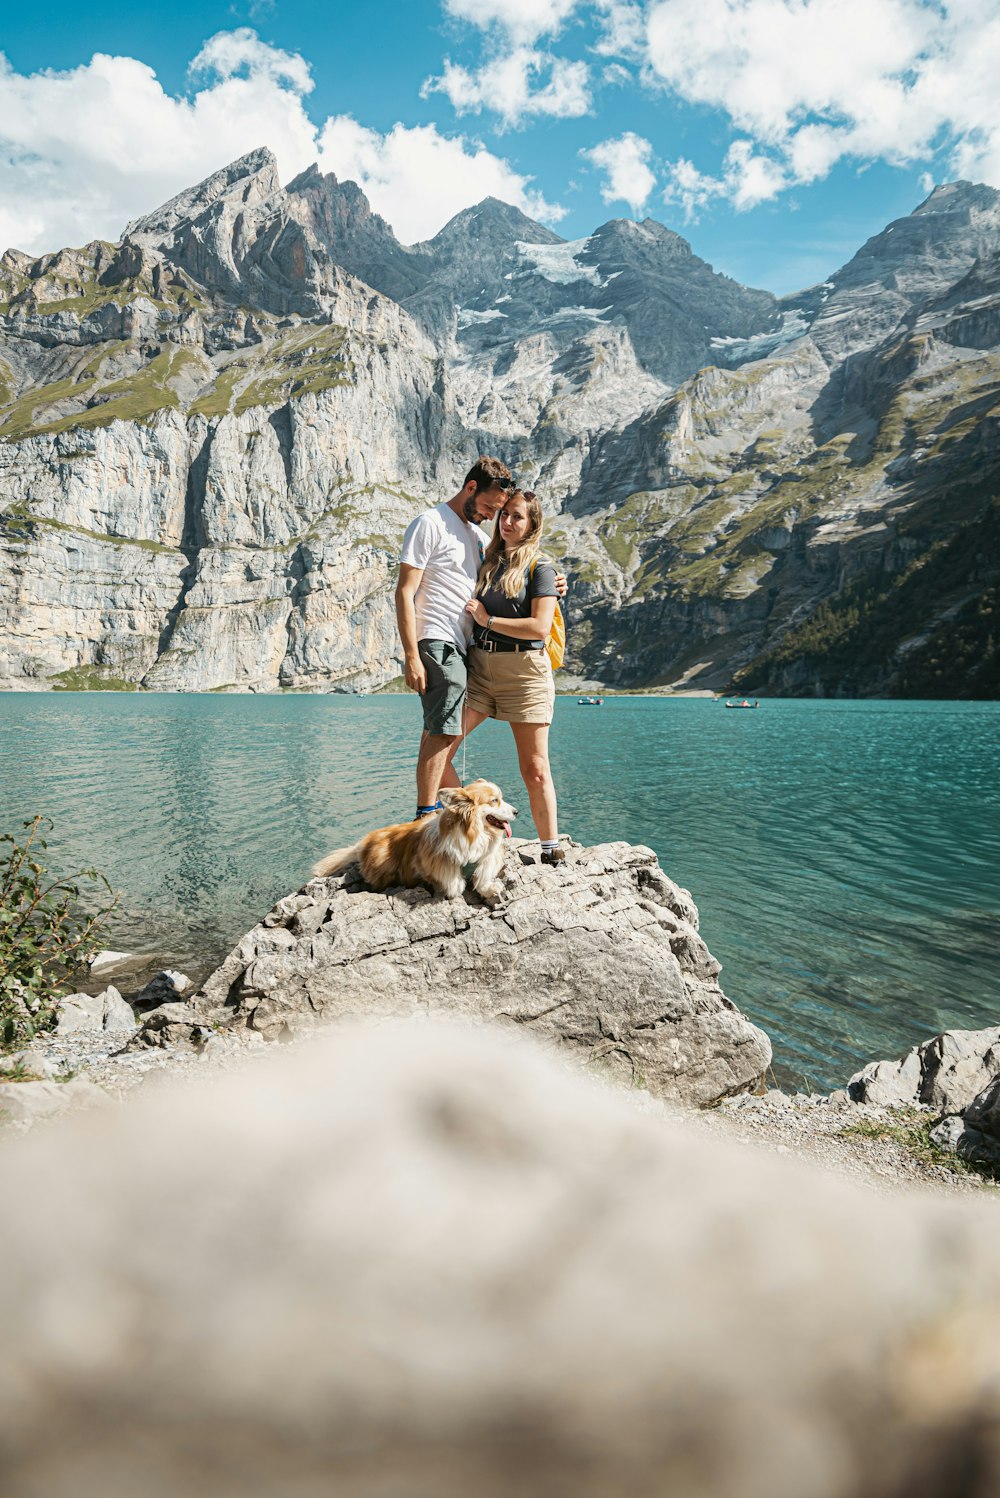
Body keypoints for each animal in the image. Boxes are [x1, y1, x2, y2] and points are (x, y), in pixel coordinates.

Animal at [309, 784, 514, 898]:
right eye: (494, 800)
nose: (517, 811)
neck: (474, 833)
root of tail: (361, 845)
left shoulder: (489, 855)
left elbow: (484, 872)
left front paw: (489, 888)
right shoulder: (429, 859)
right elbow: (450, 878)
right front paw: (456, 885)